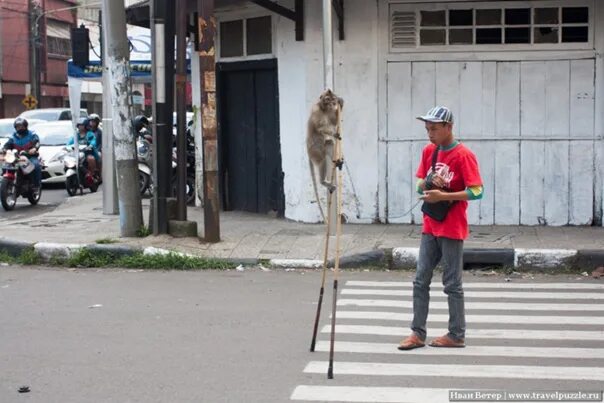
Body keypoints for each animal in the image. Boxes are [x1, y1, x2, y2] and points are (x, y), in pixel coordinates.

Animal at [306, 88, 344, 223]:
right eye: (327, 99)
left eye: (333, 99)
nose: (331, 103)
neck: (324, 109)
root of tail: (308, 151)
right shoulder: (316, 110)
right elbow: (321, 128)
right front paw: (334, 133)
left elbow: (334, 121)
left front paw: (341, 103)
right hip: (315, 151)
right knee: (322, 159)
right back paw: (323, 182)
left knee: (329, 143)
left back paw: (337, 161)